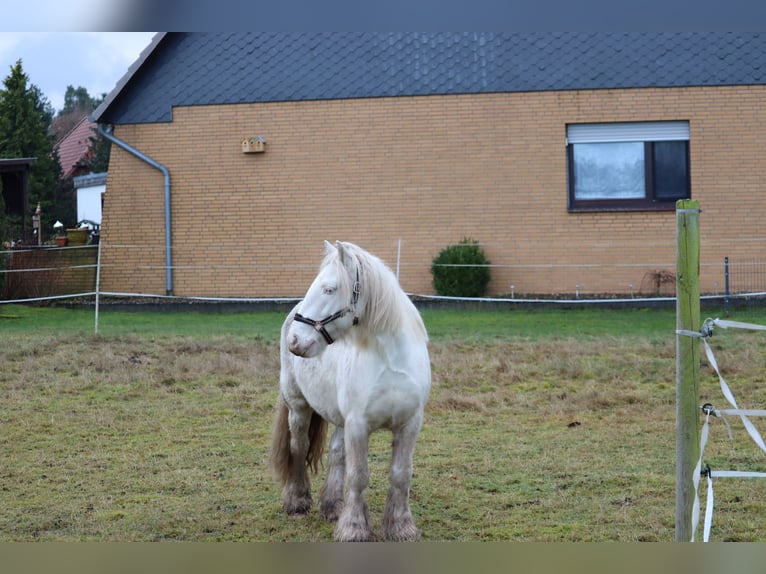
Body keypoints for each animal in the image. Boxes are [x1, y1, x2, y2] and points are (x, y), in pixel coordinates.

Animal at [270, 242, 432, 544]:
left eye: (329, 289)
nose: (295, 341)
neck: (391, 360)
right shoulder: (358, 424)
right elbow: (358, 475)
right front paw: (355, 528)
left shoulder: (409, 424)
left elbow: (401, 474)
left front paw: (401, 527)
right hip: (298, 407)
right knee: (299, 447)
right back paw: (298, 502)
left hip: (339, 418)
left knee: (336, 454)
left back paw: (333, 506)